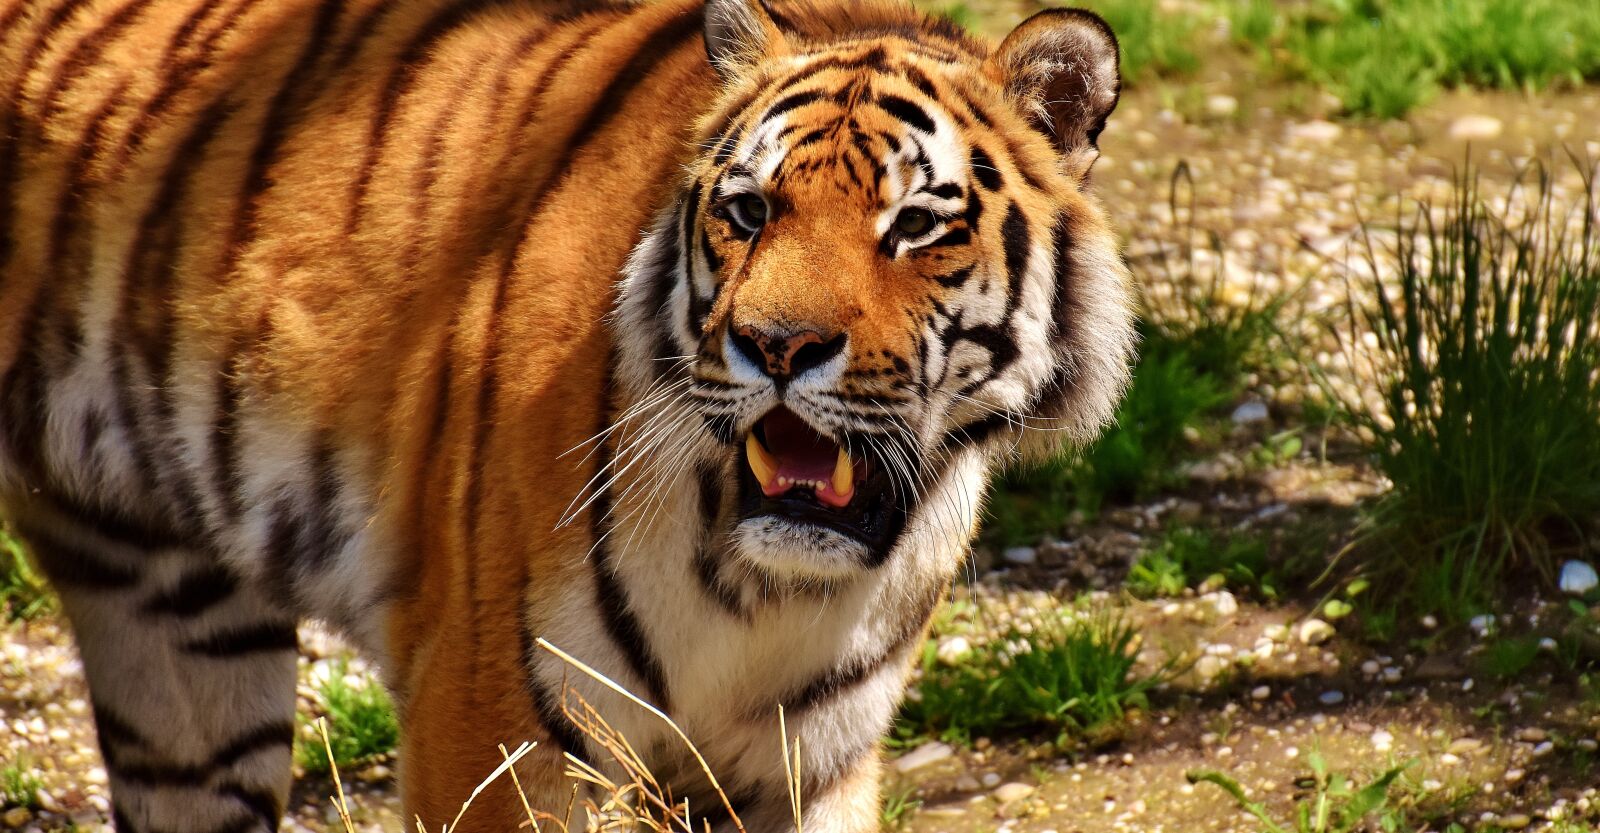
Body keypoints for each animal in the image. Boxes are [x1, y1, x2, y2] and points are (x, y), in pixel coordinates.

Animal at [0, 0, 1136, 829]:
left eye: (913, 226)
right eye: (749, 210)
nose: (774, 346)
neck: (763, 585)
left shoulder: (813, 761)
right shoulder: (498, 726)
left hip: (173, 614)